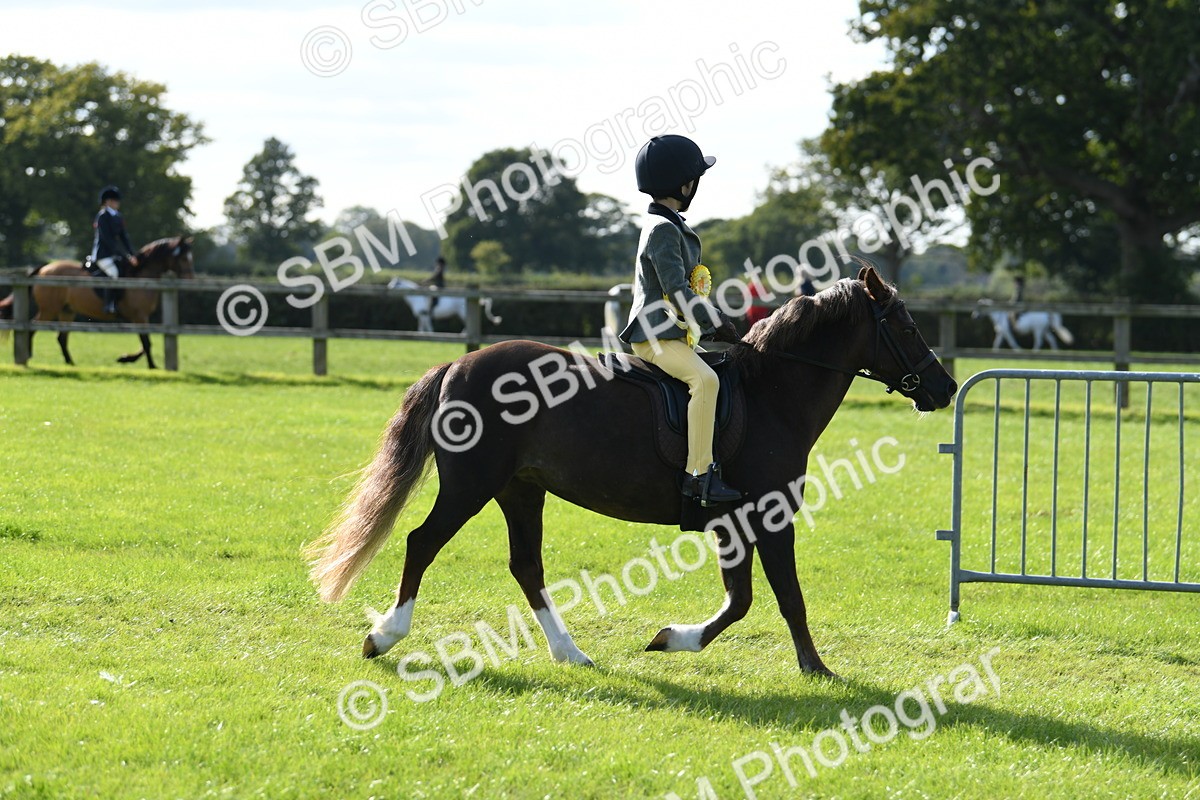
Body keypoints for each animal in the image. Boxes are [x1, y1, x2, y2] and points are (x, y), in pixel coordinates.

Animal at [0, 236, 194, 368]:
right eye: (184, 258)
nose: (191, 280)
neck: (141, 276)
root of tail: (45, 268)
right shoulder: (139, 316)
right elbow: (146, 343)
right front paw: (151, 366)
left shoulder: (140, 317)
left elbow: (144, 343)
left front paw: (126, 358)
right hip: (50, 309)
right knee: (32, 328)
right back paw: (27, 356)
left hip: (67, 311)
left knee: (61, 337)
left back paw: (70, 363)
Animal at [305, 264, 957, 678]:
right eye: (906, 327)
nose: (946, 388)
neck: (773, 391)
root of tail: (457, 365)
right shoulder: (768, 517)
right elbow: (783, 598)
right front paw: (817, 669)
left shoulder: (734, 523)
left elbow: (741, 599)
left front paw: (674, 639)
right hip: (473, 485)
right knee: (423, 543)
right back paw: (384, 636)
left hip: (520, 491)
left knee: (526, 567)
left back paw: (570, 654)